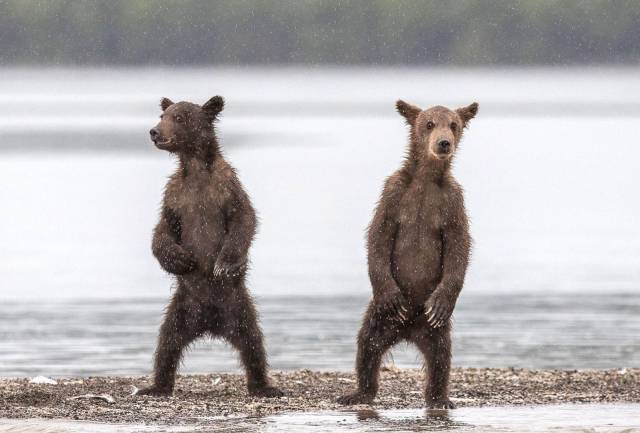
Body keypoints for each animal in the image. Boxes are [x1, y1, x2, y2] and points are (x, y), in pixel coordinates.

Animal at [136, 96, 282, 396]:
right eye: (162, 115)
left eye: (179, 117)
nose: (154, 132)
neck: (195, 169)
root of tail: (211, 323)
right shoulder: (175, 197)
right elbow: (162, 230)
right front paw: (181, 260)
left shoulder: (226, 188)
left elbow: (244, 219)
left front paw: (224, 264)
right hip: (182, 308)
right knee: (167, 343)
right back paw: (156, 386)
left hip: (237, 307)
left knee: (253, 343)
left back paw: (263, 386)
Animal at [338, 99, 478, 406]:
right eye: (429, 123)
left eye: (453, 124)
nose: (443, 143)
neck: (426, 178)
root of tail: (409, 330)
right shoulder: (394, 194)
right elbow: (378, 236)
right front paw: (391, 295)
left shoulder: (452, 202)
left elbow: (459, 246)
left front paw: (443, 301)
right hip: (380, 318)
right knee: (367, 345)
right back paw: (358, 393)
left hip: (436, 328)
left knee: (441, 357)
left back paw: (439, 397)